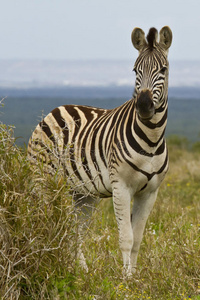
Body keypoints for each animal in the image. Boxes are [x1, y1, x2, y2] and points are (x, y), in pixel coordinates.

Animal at [27, 27, 173, 276]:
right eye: (135, 70)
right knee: (41, 221)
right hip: (43, 181)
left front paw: (134, 278)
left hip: (83, 194)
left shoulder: (150, 192)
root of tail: (56, 109)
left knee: (77, 232)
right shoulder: (121, 186)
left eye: (163, 69)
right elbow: (126, 238)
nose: (144, 106)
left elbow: (137, 239)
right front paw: (124, 280)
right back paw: (41, 263)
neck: (151, 139)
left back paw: (80, 272)